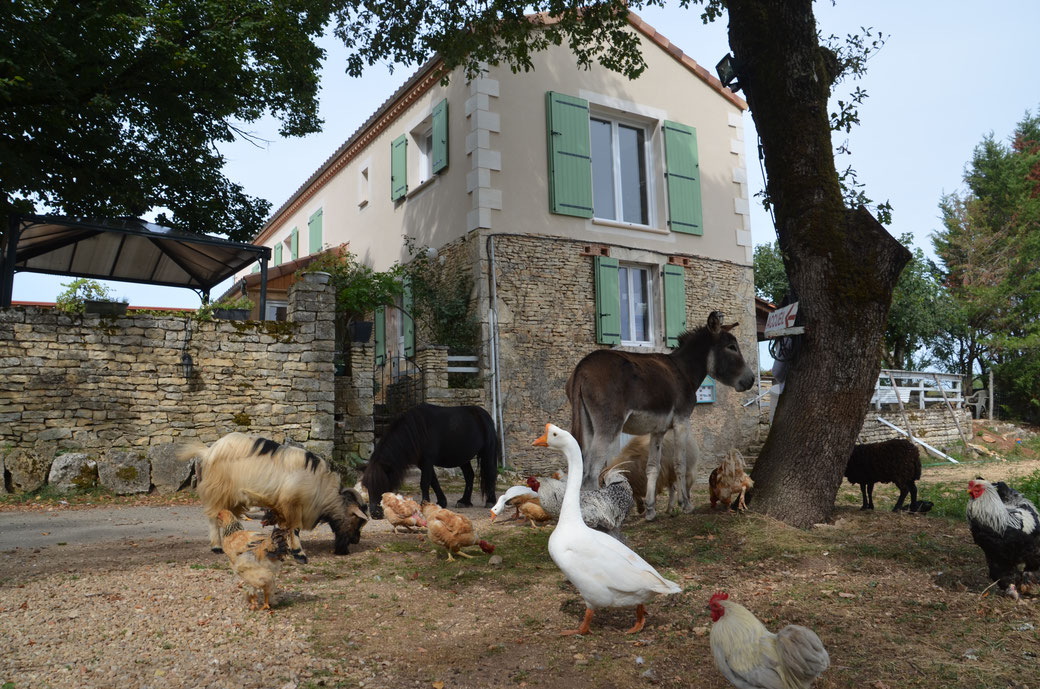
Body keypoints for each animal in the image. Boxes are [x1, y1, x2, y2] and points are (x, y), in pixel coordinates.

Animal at [179, 435, 370, 566]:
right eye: (357, 520)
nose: (355, 541)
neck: (321, 487)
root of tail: (208, 451)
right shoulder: (293, 504)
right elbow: (295, 529)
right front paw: (300, 554)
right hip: (218, 491)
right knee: (213, 517)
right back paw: (216, 547)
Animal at [361, 405, 499, 518]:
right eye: (367, 486)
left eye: (382, 484)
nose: (374, 514)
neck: (417, 430)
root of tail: (484, 414)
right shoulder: (423, 463)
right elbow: (434, 481)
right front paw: (441, 502)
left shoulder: (427, 461)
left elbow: (425, 483)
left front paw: (424, 505)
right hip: (463, 457)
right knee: (469, 475)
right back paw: (464, 501)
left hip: (488, 452)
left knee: (491, 473)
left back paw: (491, 501)